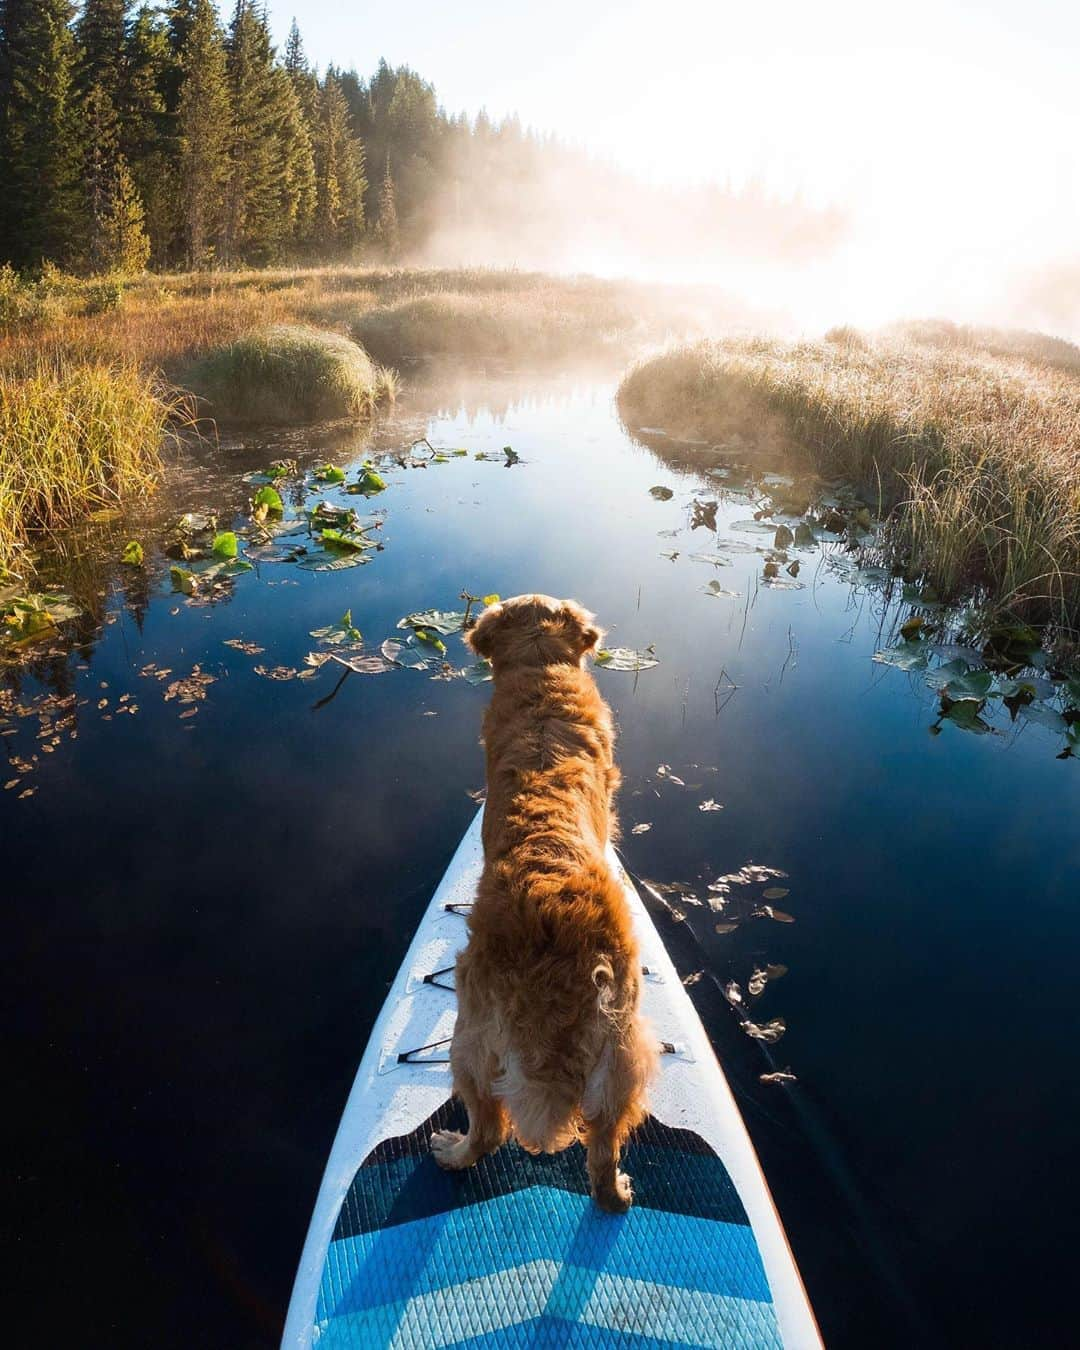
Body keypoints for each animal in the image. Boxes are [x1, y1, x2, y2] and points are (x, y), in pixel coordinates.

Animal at [432, 596, 658, 1209]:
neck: (541, 675)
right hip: (622, 1057)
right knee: (602, 1154)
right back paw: (617, 1192)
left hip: (470, 1042)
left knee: (489, 1129)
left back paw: (452, 1152)